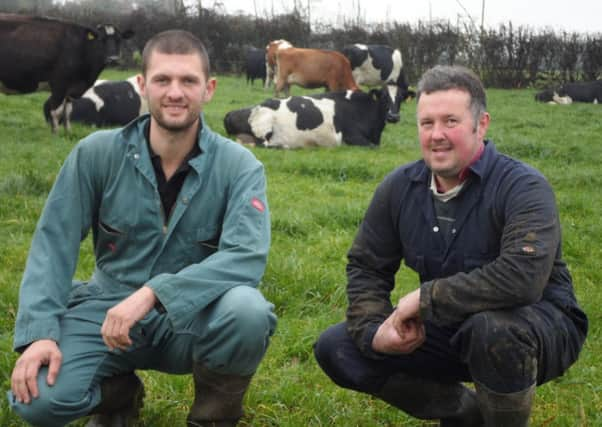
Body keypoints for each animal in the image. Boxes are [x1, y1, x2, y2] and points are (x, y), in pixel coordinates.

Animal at [0, 13, 132, 132]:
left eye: (119, 40)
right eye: (101, 39)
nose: (113, 59)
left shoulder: (70, 89)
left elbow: (68, 111)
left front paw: (68, 132)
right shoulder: (59, 84)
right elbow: (56, 112)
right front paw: (55, 134)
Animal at [223, 88, 392, 150]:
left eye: (399, 96)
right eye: (384, 97)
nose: (393, 116)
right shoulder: (351, 136)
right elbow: (373, 146)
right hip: (264, 124)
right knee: (264, 144)